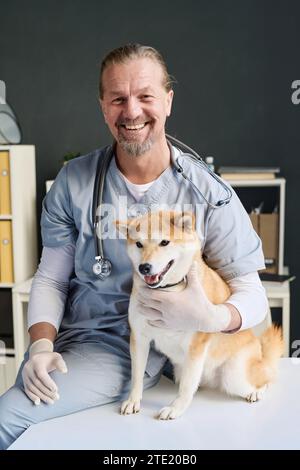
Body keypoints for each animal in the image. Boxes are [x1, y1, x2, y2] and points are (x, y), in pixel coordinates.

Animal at [115, 211, 284, 420]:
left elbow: (187, 387)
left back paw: (257, 391)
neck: (169, 290)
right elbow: (137, 375)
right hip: (182, 370)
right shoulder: (139, 338)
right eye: (139, 244)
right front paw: (133, 400)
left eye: (164, 242)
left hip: (234, 375)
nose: (144, 267)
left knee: (266, 378)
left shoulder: (196, 344)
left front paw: (176, 408)